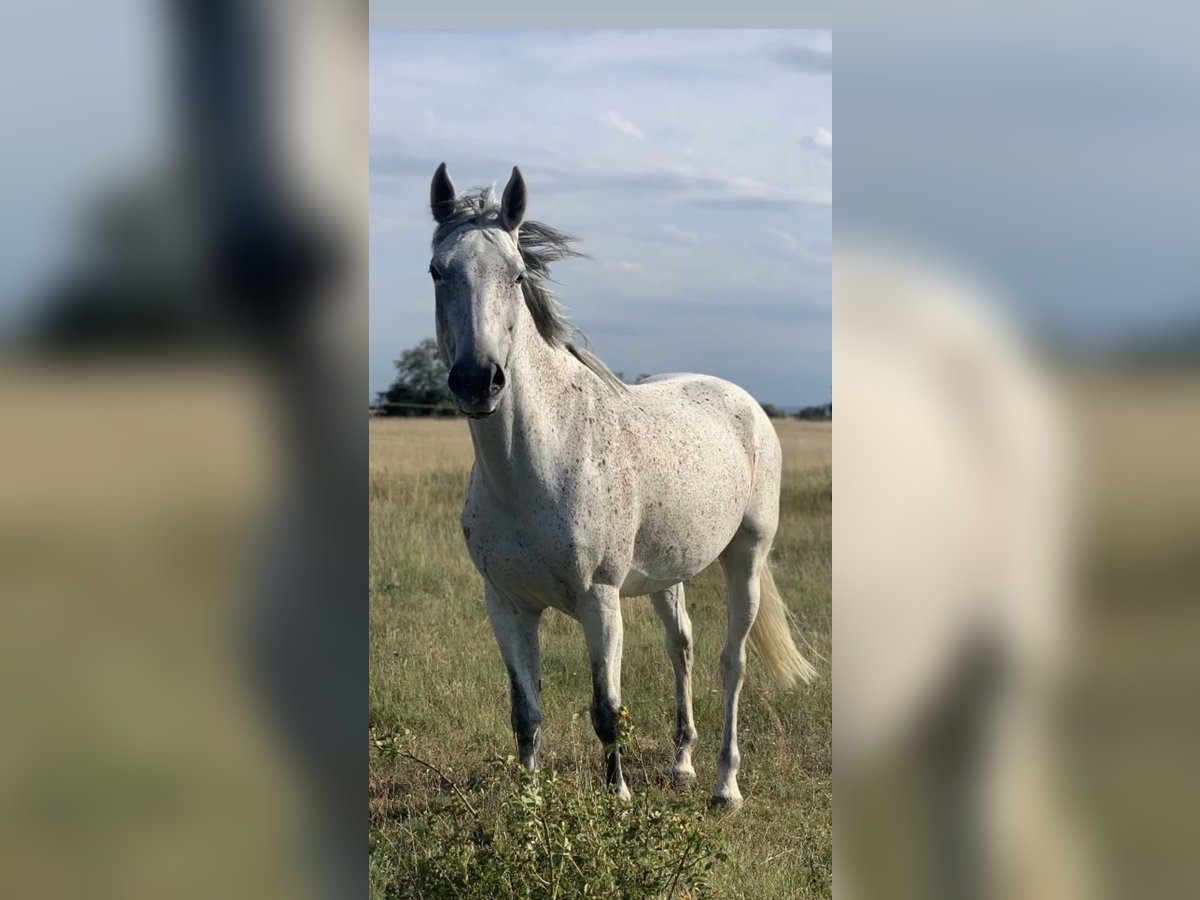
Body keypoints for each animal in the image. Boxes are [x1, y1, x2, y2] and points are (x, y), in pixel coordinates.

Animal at [424, 162, 816, 811]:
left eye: (516, 274)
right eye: (437, 270)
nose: (479, 381)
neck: (536, 463)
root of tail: (742, 401)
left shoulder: (599, 601)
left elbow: (607, 710)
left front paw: (620, 801)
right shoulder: (506, 604)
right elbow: (525, 713)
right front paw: (529, 807)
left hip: (746, 556)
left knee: (731, 664)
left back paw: (725, 786)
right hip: (667, 574)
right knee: (681, 647)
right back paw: (681, 764)